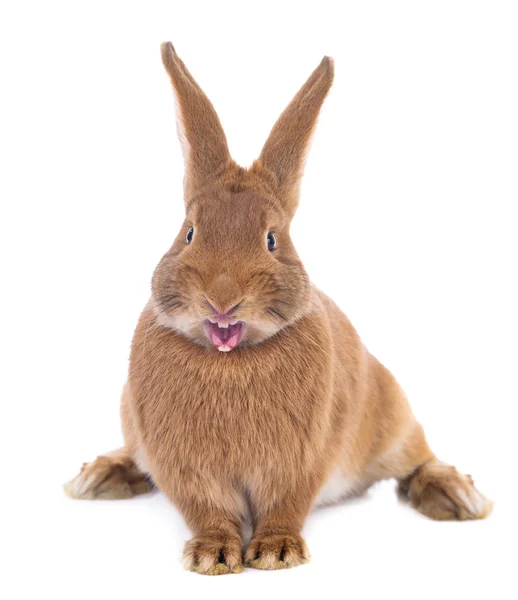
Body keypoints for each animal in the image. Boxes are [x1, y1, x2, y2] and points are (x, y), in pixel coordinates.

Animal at [66, 39, 496, 576]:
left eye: (272, 239)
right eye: (189, 233)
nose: (222, 297)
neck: (229, 360)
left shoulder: (302, 460)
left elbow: (285, 504)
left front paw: (276, 552)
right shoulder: (186, 469)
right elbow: (207, 510)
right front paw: (212, 555)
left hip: (392, 415)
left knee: (417, 457)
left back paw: (457, 497)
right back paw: (99, 477)